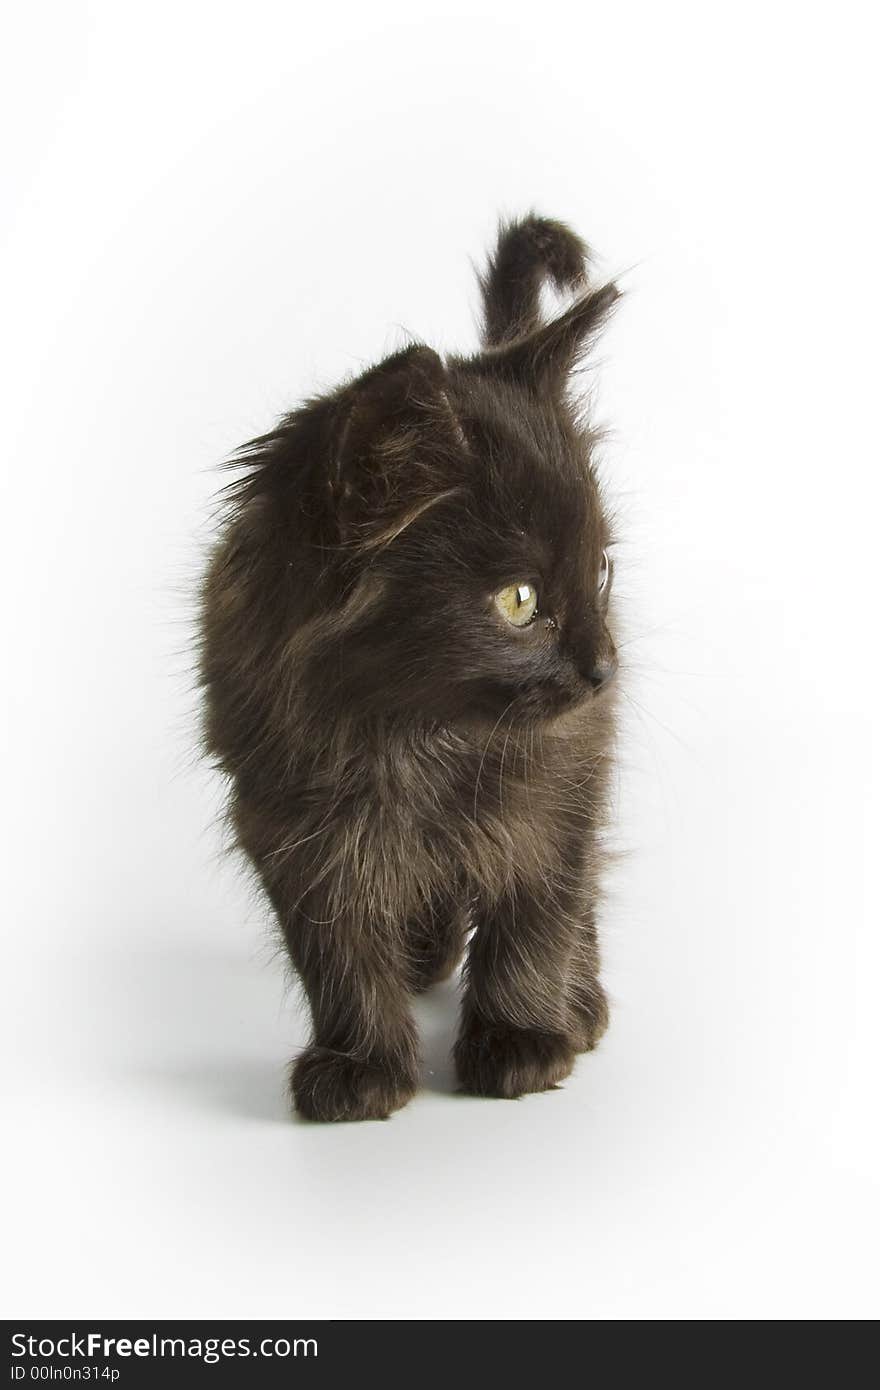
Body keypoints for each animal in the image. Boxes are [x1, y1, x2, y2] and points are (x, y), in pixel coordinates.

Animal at [198, 214, 617, 1117]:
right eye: (520, 599)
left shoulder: (556, 783)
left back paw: (583, 1003)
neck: (416, 733)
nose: (606, 666)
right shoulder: (288, 820)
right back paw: (425, 957)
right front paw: (361, 1065)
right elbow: (337, 948)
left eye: (602, 571)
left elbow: (539, 910)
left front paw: (523, 1043)